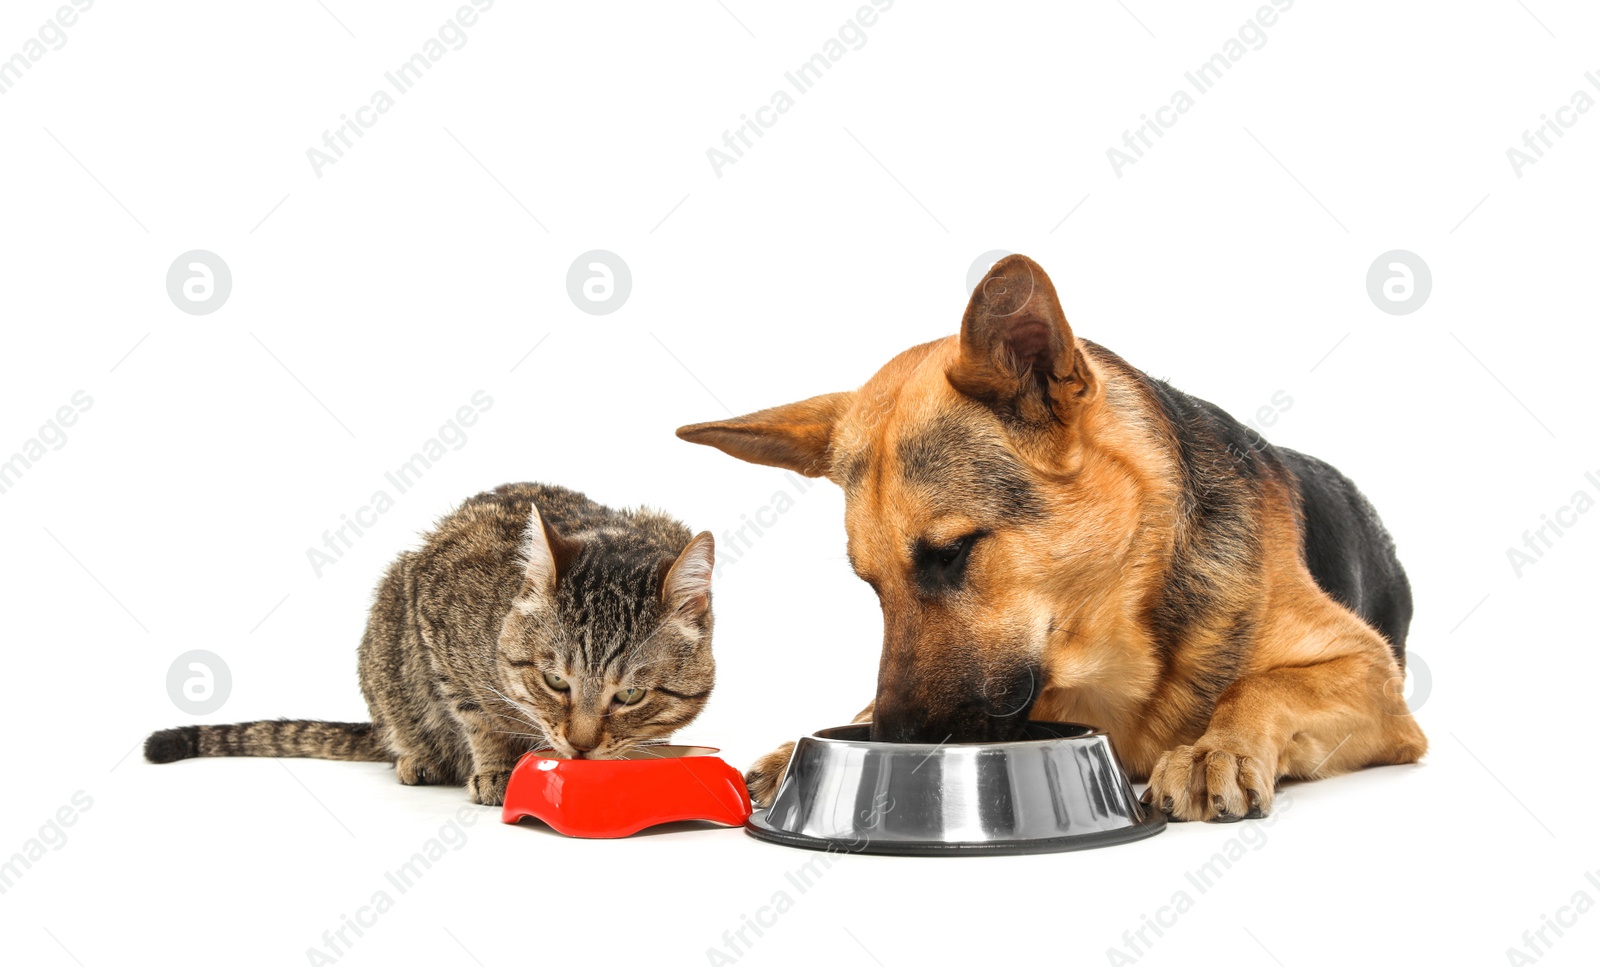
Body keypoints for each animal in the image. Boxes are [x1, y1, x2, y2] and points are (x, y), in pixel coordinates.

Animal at [144, 483, 720, 806]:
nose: (579, 747)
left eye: (629, 696)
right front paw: (496, 768)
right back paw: (417, 756)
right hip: (389, 614)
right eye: (556, 680)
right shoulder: (432, 608)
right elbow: (477, 716)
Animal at [681, 252, 1433, 819]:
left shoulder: (1377, 683)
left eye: (952, 553)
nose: (895, 744)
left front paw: (1213, 747)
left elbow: (1260, 688)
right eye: (870, 583)